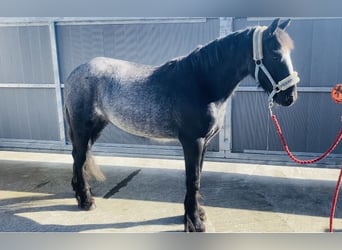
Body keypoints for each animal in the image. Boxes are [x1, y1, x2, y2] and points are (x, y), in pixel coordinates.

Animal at [64, 18, 300, 231]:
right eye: (275, 54)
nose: (290, 97)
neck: (201, 82)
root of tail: (74, 73)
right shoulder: (192, 142)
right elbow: (192, 179)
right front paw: (194, 222)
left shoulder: (204, 142)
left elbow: (198, 177)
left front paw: (196, 214)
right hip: (83, 127)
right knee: (79, 155)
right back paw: (86, 201)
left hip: (96, 127)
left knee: (79, 156)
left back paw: (80, 194)